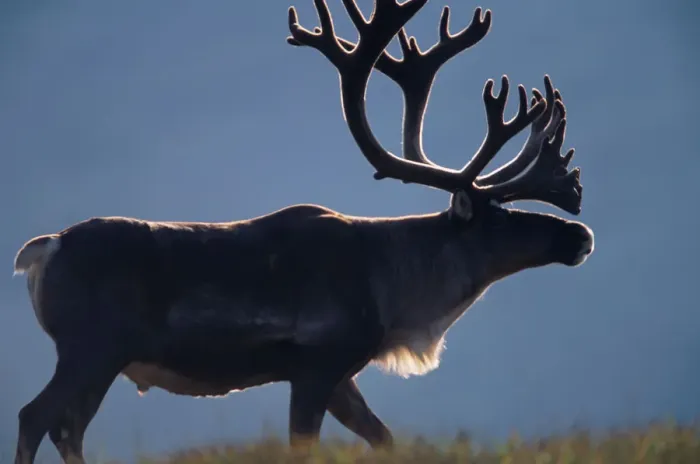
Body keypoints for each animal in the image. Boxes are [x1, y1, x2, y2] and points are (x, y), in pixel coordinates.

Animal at [11, 0, 594, 463]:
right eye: (497, 215)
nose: (581, 236)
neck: (397, 295)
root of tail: (44, 249)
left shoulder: (343, 377)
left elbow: (384, 438)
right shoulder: (315, 364)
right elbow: (304, 446)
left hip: (100, 359)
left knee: (67, 429)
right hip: (90, 348)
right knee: (35, 417)